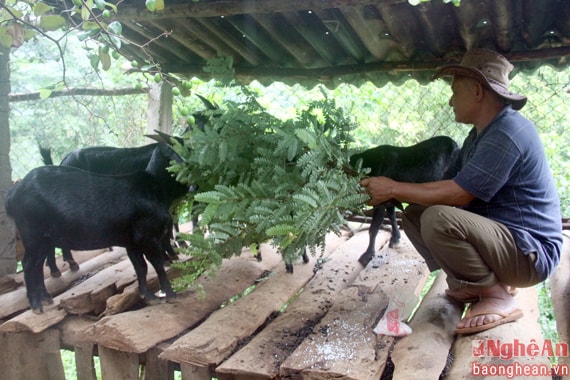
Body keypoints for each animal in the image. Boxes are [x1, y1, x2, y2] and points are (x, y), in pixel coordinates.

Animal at [5, 142, 186, 312]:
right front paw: (171, 294)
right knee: (29, 264)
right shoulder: (148, 238)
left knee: (37, 266)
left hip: (44, 240)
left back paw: (46, 298)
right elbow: (157, 264)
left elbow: (141, 267)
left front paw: (148, 296)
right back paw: (36, 305)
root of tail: (14, 192)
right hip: (33, 236)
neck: (153, 190)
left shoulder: (132, 242)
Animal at [350, 136, 458, 268]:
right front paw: (395, 238)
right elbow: (391, 215)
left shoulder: (379, 199)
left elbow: (374, 227)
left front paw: (367, 255)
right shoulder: (390, 197)